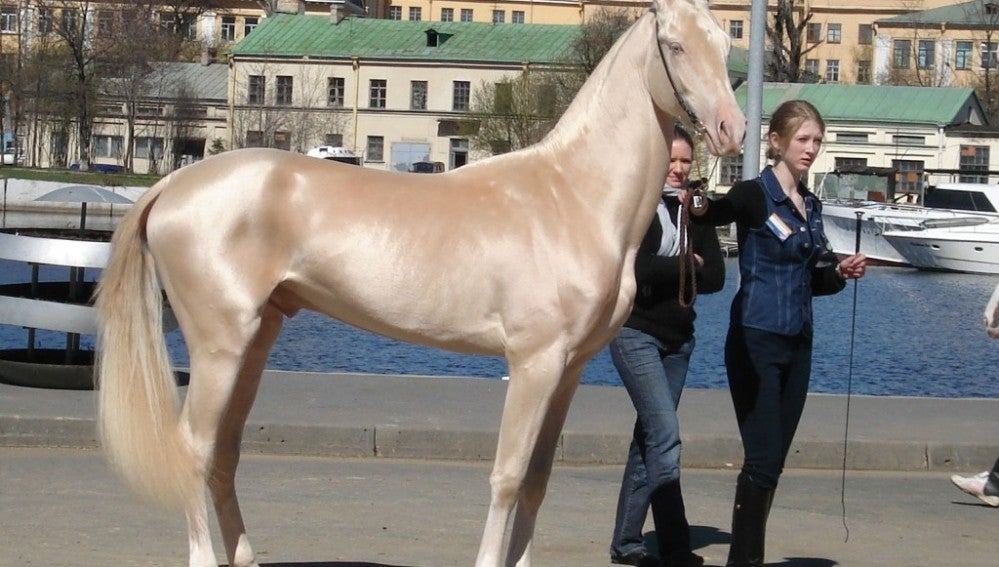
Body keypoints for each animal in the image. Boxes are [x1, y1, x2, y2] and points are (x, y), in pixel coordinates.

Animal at [97, 1, 748, 567]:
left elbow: (538, 481)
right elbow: (508, 477)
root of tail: (172, 185)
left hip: (255, 342)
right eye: (674, 45)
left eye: (723, 43)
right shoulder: (534, 363)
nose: (732, 129)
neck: (572, 195)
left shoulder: (569, 371)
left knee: (225, 454)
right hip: (218, 347)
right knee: (194, 450)